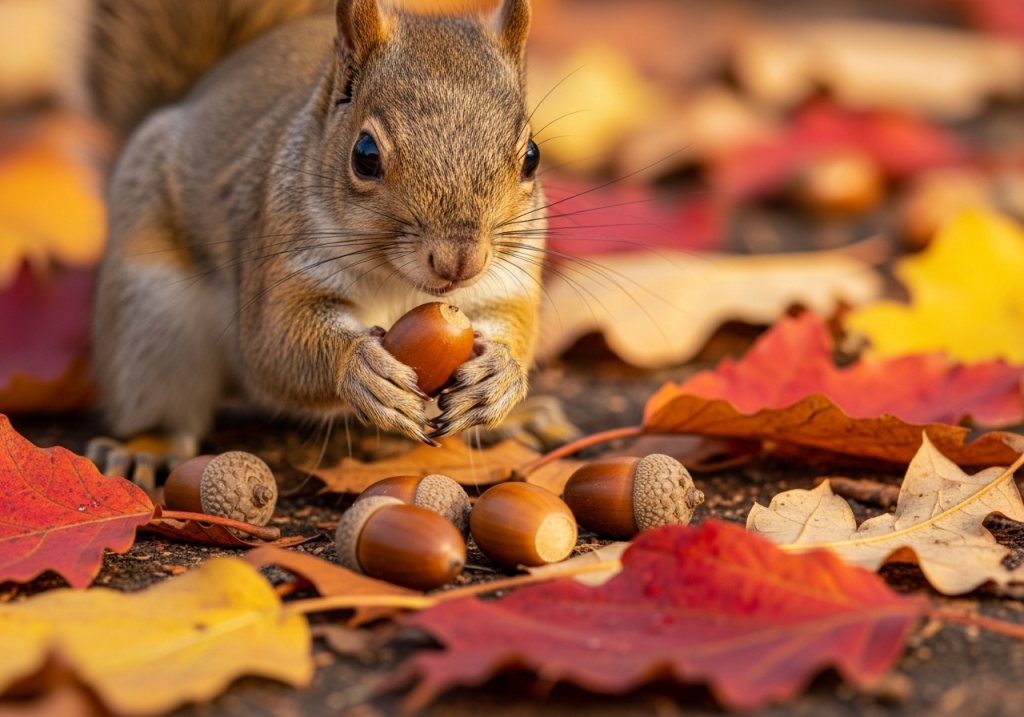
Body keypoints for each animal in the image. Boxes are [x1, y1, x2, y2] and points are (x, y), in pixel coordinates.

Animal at [84, 0, 549, 482]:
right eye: (365, 156)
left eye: (531, 157)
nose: (460, 262)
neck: (398, 280)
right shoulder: (279, 264)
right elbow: (276, 344)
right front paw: (359, 367)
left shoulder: (507, 276)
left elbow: (516, 322)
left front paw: (500, 374)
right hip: (151, 312)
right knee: (160, 395)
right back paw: (147, 447)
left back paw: (518, 418)